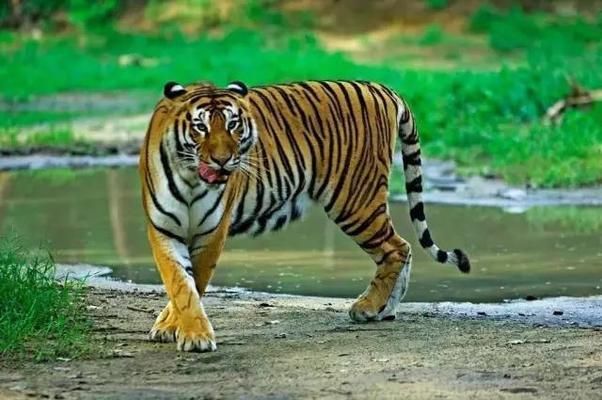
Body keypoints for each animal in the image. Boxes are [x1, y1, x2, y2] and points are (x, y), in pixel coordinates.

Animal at [139, 79, 468, 352]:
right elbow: (180, 284)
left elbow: (193, 283)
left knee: (396, 248)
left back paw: (368, 307)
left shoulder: (212, 232)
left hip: (355, 201)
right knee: (405, 247)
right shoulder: (164, 228)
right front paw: (173, 327)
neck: (192, 178)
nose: (222, 160)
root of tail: (381, 88)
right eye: (201, 127)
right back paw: (386, 310)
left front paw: (193, 336)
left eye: (234, 125)